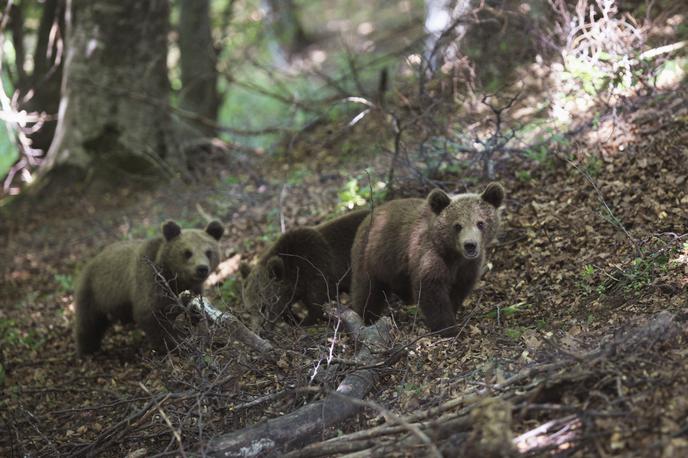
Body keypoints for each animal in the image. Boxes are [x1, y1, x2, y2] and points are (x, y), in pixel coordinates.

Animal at [75, 220, 226, 356]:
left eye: (208, 252)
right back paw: (88, 349)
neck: (173, 277)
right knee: (89, 322)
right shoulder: (150, 279)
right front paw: (174, 344)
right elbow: (151, 314)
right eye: (187, 252)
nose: (202, 268)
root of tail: (91, 260)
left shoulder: (194, 288)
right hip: (94, 290)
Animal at [242, 208, 370, 326]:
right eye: (249, 310)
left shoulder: (317, 267)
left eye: (263, 307)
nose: (259, 329)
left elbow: (320, 305)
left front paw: (305, 321)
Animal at [350, 182, 506, 336]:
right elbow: (431, 290)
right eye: (457, 225)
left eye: (480, 223)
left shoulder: (469, 266)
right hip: (372, 256)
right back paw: (366, 317)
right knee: (368, 290)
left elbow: (459, 288)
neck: (453, 254)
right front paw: (448, 328)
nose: (470, 245)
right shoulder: (429, 256)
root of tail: (369, 216)